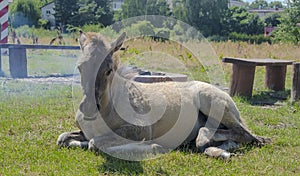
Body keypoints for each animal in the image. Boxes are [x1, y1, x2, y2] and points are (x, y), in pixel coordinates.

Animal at [56, 31, 270, 160]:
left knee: (247, 135)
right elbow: (63, 138)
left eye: (109, 70)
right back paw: (220, 149)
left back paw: (211, 144)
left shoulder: (140, 130)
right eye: (80, 67)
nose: (89, 108)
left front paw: (154, 147)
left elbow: (94, 144)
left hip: (214, 104)